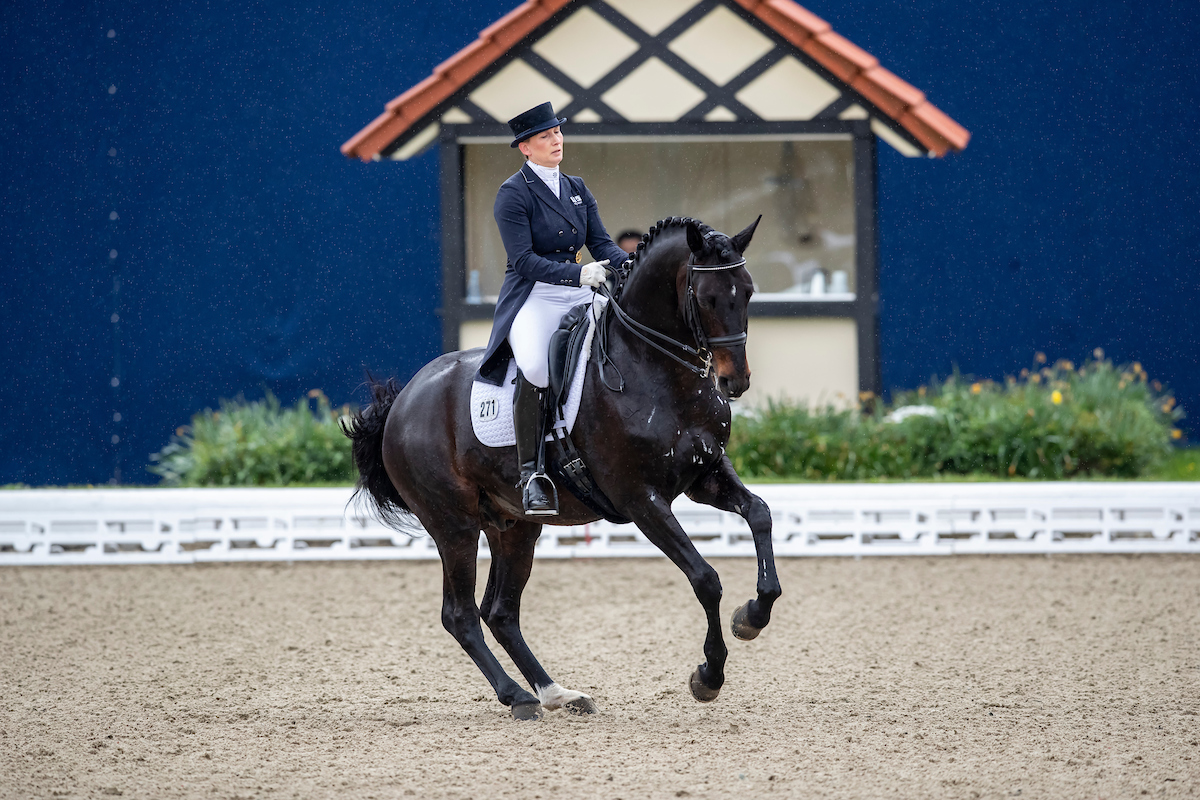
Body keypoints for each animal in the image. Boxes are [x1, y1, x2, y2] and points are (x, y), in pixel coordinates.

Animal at [343, 215, 782, 724]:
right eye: (707, 297)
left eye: (747, 292)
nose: (735, 381)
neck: (657, 370)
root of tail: (402, 401)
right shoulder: (641, 500)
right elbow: (705, 578)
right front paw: (708, 677)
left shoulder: (704, 475)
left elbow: (760, 514)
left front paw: (751, 616)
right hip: (453, 525)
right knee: (460, 614)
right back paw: (517, 696)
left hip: (515, 526)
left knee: (501, 612)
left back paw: (557, 693)